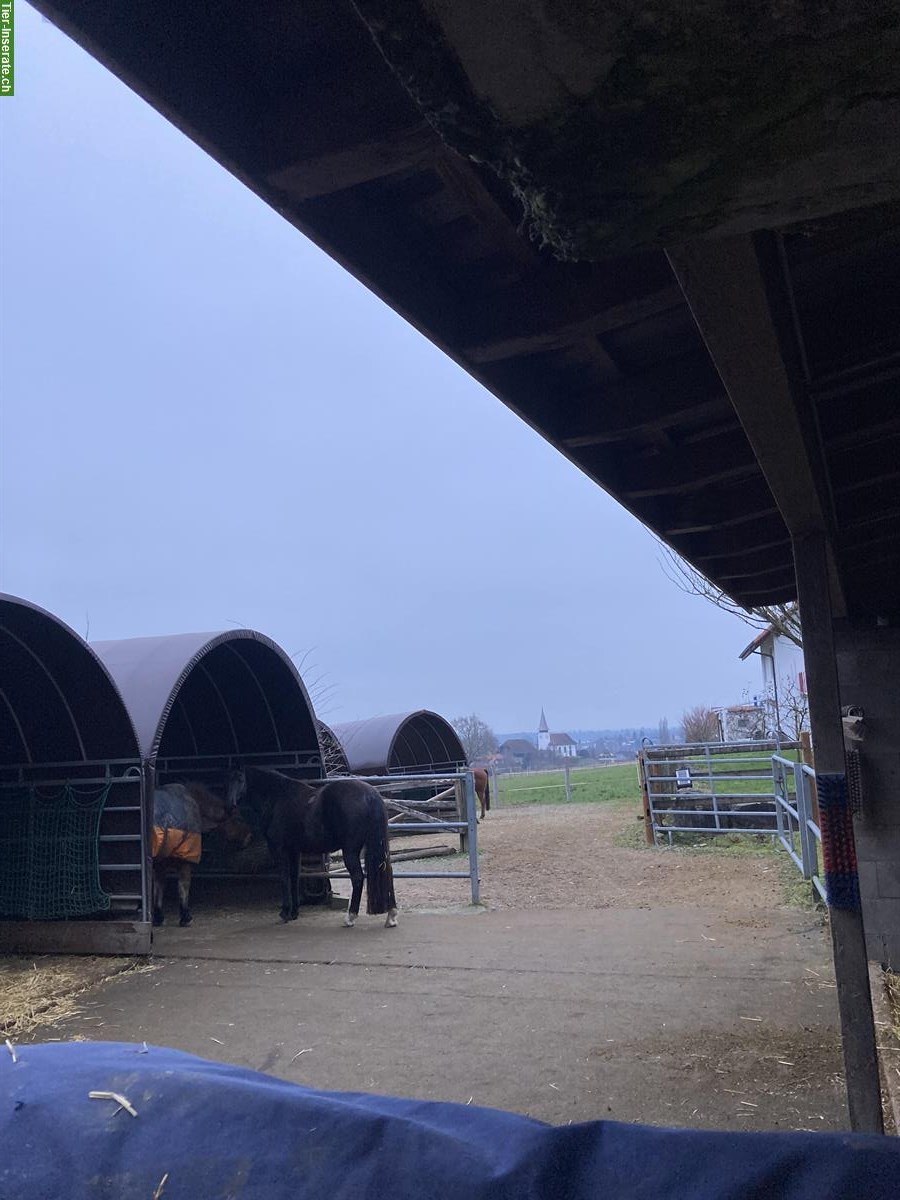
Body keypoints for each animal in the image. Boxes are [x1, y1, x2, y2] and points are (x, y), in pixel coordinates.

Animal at [151, 777, 250, 926]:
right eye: (239, 819)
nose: (249, 836)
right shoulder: (186, 857)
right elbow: (183, 888)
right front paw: (185, 917)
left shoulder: (161, 861)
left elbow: (158, 889)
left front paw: (158, 917)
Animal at [226, 768, 396, 926]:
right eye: (226, 780)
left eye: (240, 778)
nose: (230, 805)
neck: (277, 798)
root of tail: (371, 795)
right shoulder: (294, 851)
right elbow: (294, 878)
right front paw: (294, 913)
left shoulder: (280, 850)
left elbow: (284, 878)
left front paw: (285, 913)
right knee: (387, 872)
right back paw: (391, 916)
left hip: (350, 851)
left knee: (358, 878)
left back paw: (350, 917)